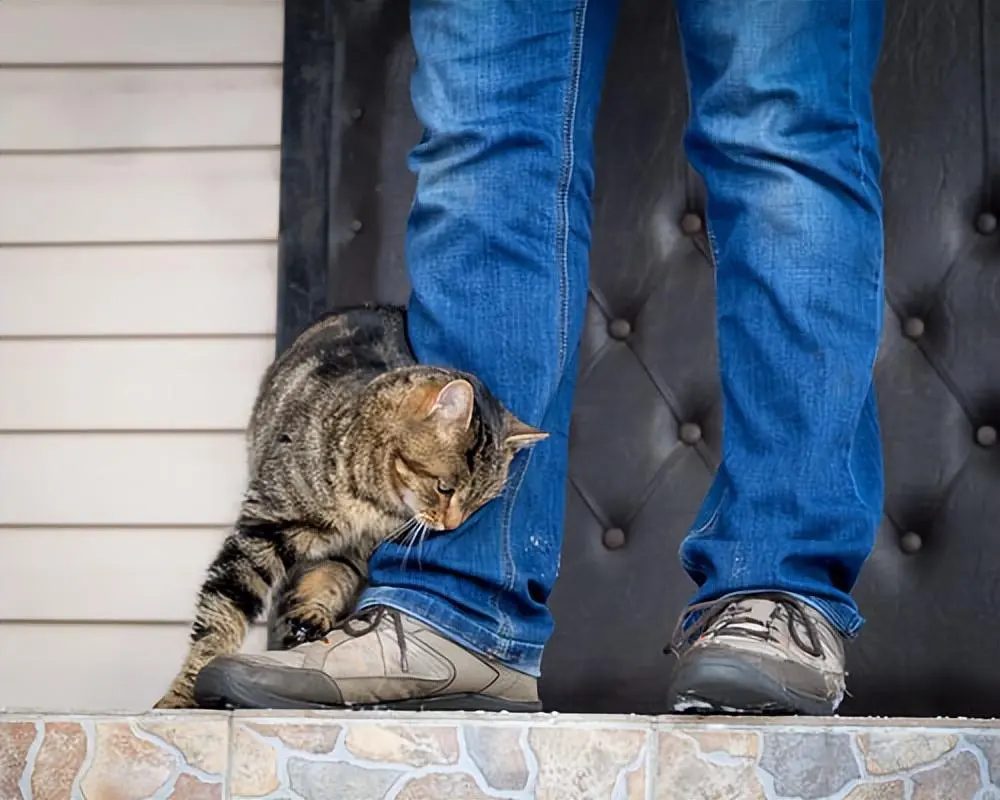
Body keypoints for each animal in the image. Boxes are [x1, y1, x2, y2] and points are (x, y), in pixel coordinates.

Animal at [154, 304, 548, 708]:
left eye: (478, 504)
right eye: (445, 488)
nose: (451, 526)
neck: (371, 501)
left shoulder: (358, 552)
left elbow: (332, 577)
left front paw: (312, 611)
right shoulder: (263, 527)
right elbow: (222, 615)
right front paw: (181, 694)